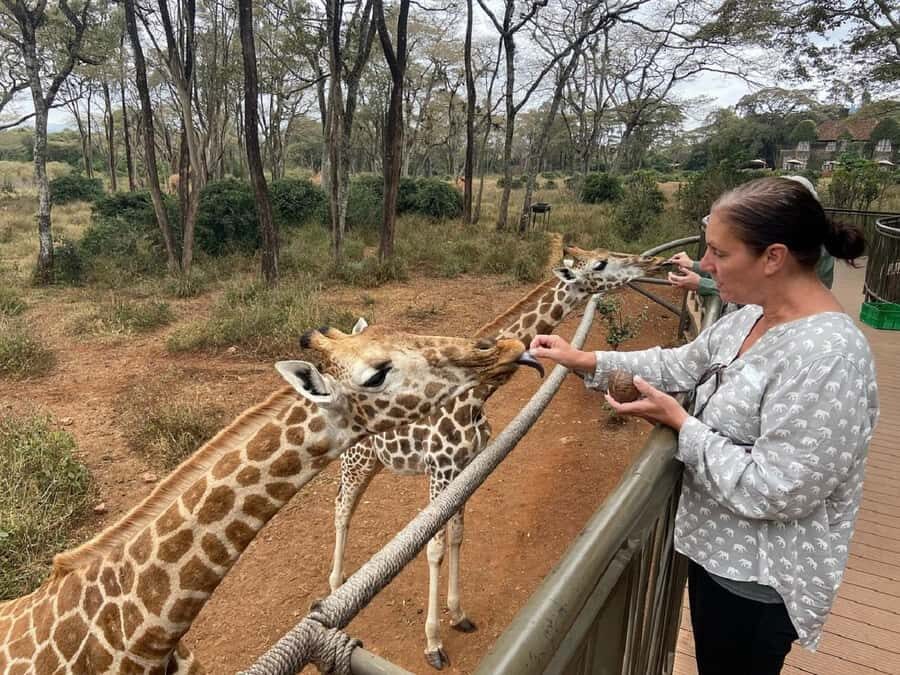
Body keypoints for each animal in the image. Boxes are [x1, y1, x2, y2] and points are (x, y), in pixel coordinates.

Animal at [329, 246, 669, 669]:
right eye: (600, 264)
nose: (654, 263)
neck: (476, 396)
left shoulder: (464, 468)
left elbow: (458, 536)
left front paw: (458, 615)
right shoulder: (440, 469)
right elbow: (434, 549)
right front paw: (433, 644)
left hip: (375, 460)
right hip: (357, 456)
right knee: (342, 506)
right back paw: (335, 586)